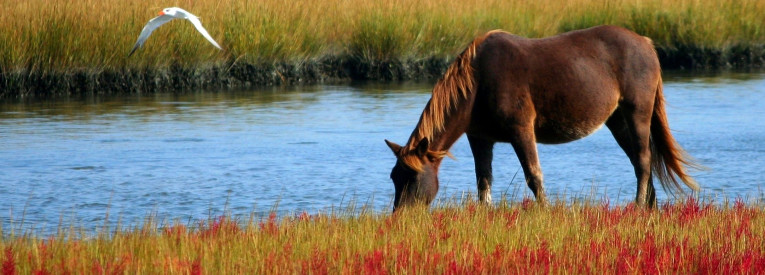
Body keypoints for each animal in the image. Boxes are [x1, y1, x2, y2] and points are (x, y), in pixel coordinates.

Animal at [388, 25, 700, 211]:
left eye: (412, 177)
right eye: (394, 176)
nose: (401, 217)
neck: (478, 82)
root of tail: (646, 43)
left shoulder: (521, 130)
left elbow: (533, 176)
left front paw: (544, 211)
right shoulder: (480, 138)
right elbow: (483, 181)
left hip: (637, 112)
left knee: (644, 161)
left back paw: (638, 207)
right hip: (618, 120)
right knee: (639, 160)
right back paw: (649, 207)